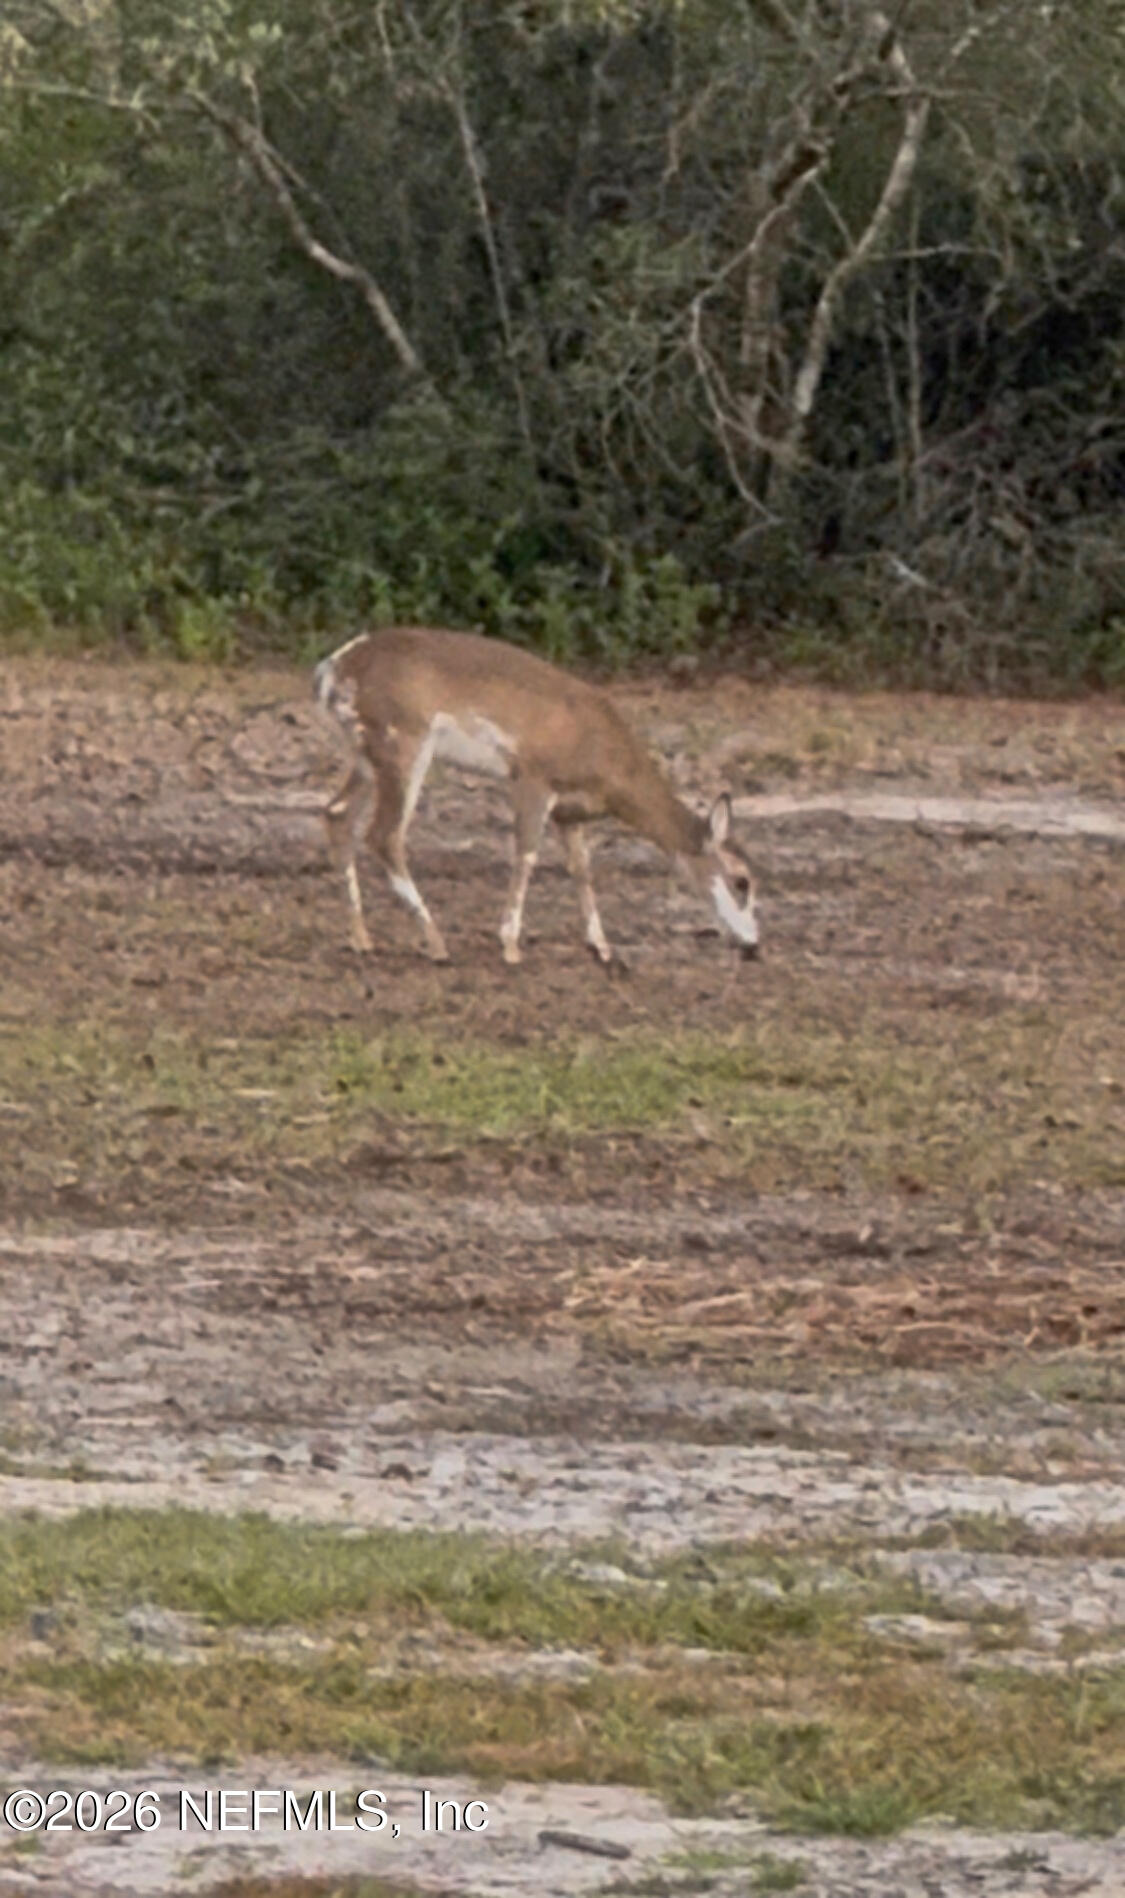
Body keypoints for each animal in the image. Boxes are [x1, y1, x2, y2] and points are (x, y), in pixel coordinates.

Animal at [312, 626, 759, 968]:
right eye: (742, 881)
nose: (754, 946)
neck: (610, 764)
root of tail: (331, 670)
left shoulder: (569, 812)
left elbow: (581, 868)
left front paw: (602, 947)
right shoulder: (532, 775)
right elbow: (526, 854)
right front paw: (510, 944)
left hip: (366, 752)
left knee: (336, 813)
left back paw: (361, 938)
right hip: (402, 739)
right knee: (384, 834)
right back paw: (436, 942)